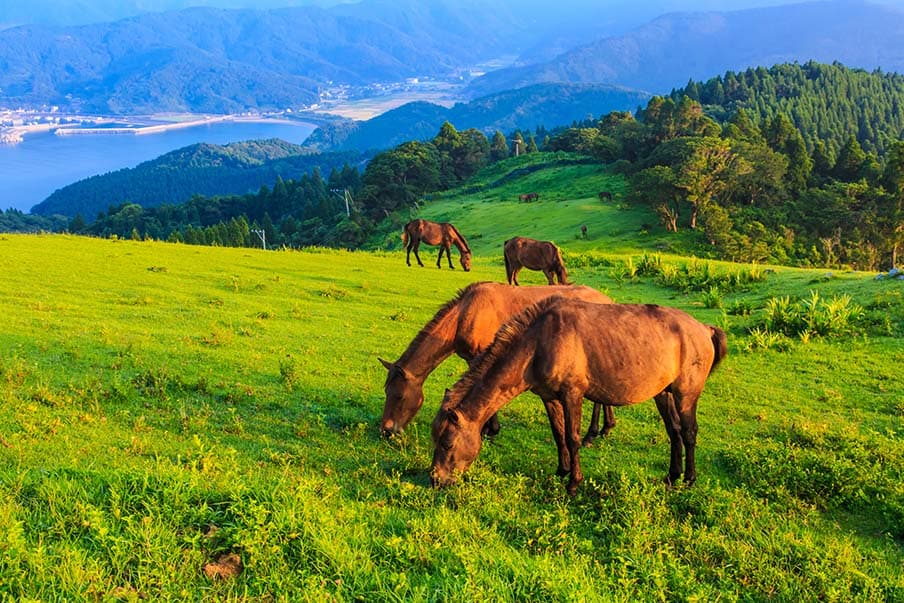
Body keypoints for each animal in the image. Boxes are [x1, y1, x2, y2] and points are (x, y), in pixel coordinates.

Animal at [379, 282, 616, 442]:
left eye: (399, 396)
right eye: (386, 392)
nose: (386, 430)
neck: (465, 313)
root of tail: (607, 300)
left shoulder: (479, 356)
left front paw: (490, 430)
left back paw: (593, 433)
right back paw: (604, 428)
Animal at [431, 298, 728, 495]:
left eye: (447, 443)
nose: (435, 479)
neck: (539, 342)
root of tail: (704, 328)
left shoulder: (572, 394)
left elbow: (572, 438)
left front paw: (574, 482)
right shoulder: (550, 397)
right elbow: (558, 433)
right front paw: (561, 471)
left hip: (686, 394)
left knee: (688, 432)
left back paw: (689, 478)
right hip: (663, 394)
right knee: (674, 432)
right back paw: (672, 476)